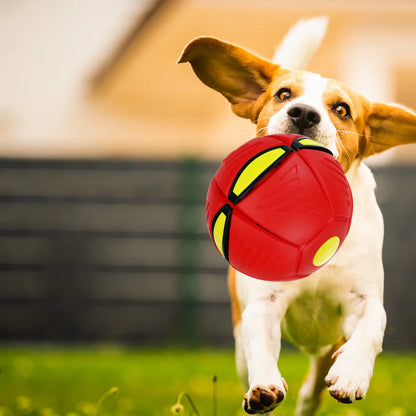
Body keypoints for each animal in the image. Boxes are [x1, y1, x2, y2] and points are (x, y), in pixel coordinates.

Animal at [178, 17, 416, 416]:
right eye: (284, 94)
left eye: (342, 109)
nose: (304, 113)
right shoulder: (264, 305)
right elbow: (261, 346)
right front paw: (264, 387)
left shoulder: (363, 301)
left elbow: (370, 330)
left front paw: (352, 374)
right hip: (240, 344)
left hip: (325, 347)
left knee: (312, 390)